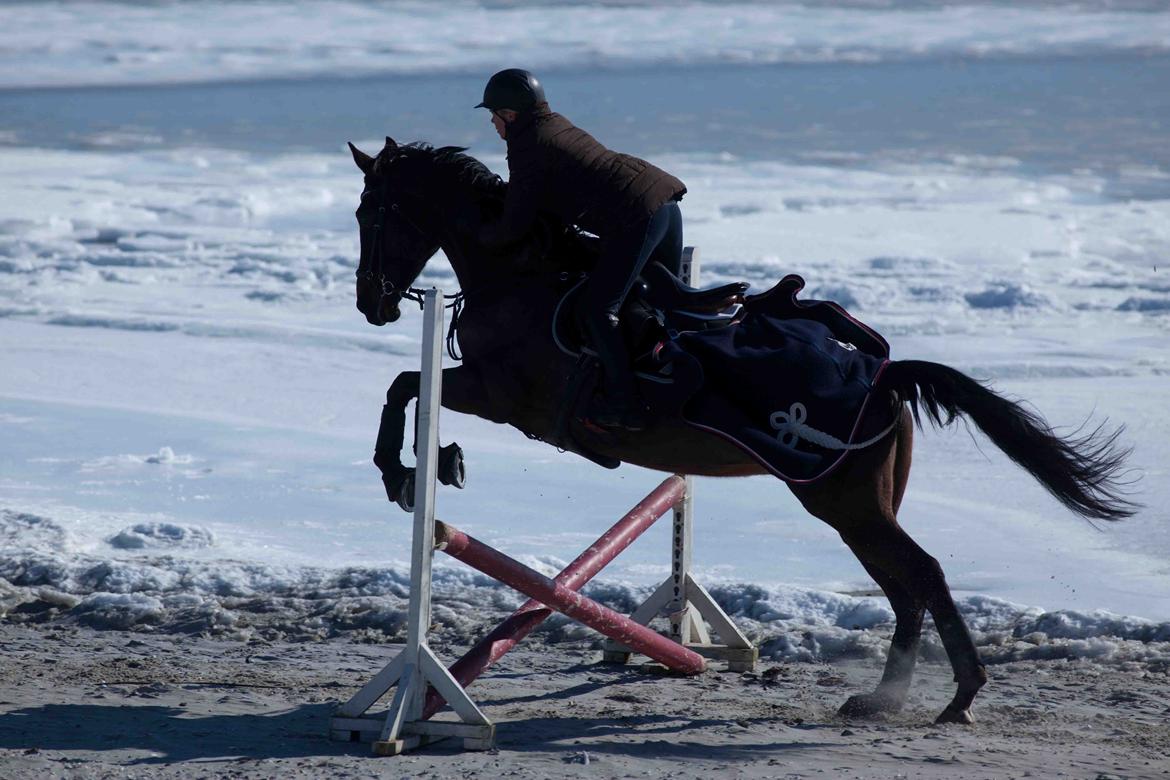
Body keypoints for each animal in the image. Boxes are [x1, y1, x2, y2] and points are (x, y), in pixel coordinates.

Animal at [343, 135, 1132, 725]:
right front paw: (428, 463)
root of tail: (884, 374)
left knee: (922, 575)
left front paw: (410, 469)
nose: (371, 304)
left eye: (369, 212)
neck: (516, 271)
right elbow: (405, 386)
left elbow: (405, 385)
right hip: (861, 504)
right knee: (906, 586)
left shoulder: (503, 395)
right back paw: (886, 698)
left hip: (843, 500)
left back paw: (955, 696)